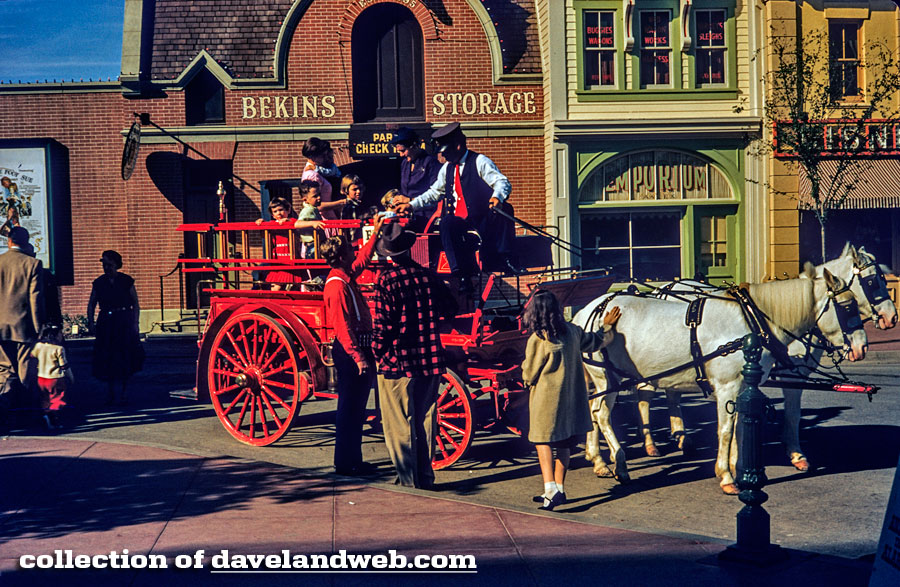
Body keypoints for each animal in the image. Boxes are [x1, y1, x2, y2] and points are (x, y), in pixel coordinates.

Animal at [576, 268, 864, 494]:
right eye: (848, 306)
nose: (860, 347)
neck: (752, 323)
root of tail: (585, 313)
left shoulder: (743, 387)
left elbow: (739, 428)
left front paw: (740, 470)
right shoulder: (727, 386)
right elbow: (725, 430)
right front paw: (726, 476)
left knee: (591, 411)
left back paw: (599, 461)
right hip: (606, 377)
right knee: (601, 415)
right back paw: (620, 465)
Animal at [624, 245, 900, 474]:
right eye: (873, 281)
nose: (891, 318)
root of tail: (665, 289)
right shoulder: (792, 374)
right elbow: (792, 415)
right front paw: (796, 454)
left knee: (669, 393)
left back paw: (679, 436)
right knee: (646, 394)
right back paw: (651, 442)